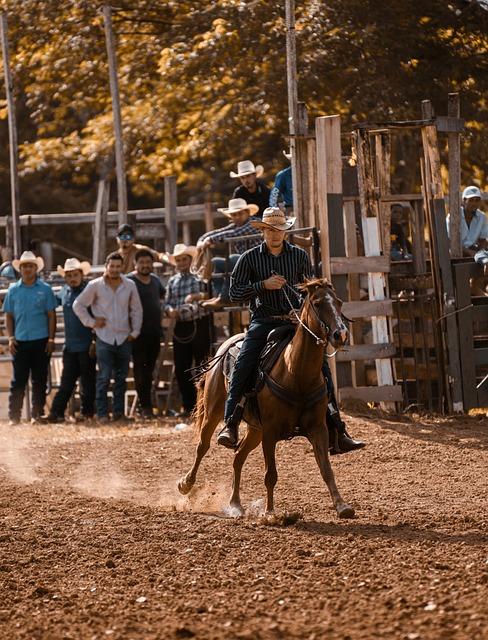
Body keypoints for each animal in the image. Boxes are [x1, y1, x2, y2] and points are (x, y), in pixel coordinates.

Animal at [177, 278, 352, 516]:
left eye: (339, 302)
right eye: (317, 303)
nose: (340, 334)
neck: (295, 372)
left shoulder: (318, 428)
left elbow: (326, 469)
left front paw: (342, 506)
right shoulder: (270, 431)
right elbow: (271, 475)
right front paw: (270, 514)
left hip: (255, 429)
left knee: (238, 457)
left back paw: (235, 504)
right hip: (215, 412)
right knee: (202, 446)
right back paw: (186, 484)